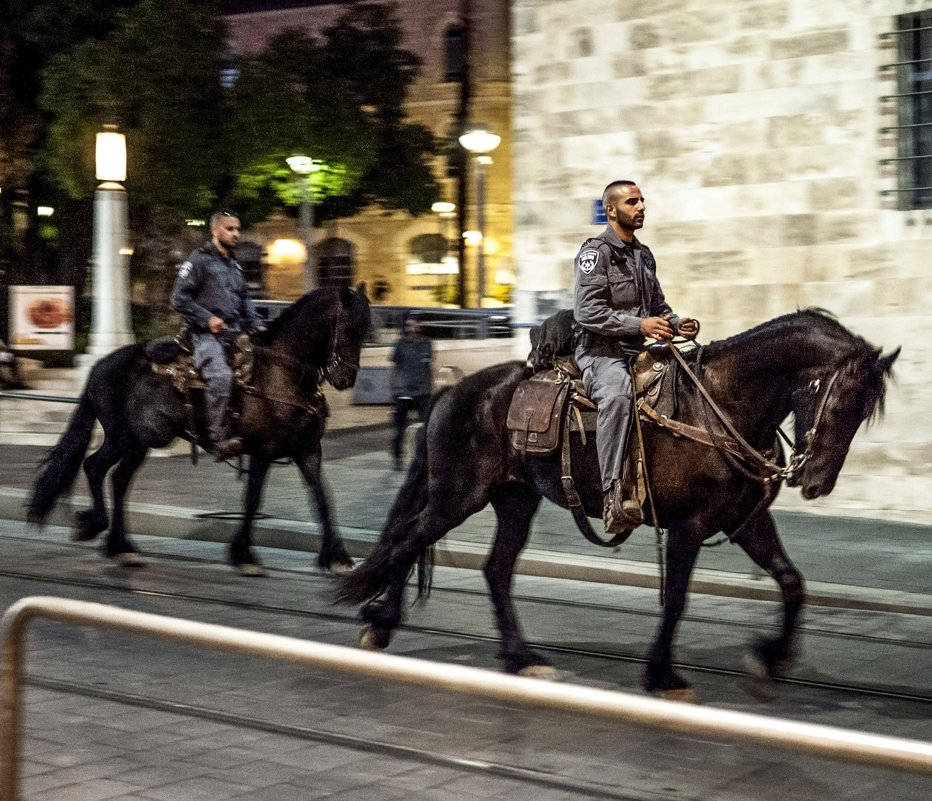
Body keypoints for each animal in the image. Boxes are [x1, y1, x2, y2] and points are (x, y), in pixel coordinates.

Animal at [26, 284, 368, 572]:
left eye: (365, 331)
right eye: (348, 328)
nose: (345, 379)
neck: (282, 373)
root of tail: (100, 364)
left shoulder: (308, 450)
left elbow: (323, 499)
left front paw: (337, 556)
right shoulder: (263, 450)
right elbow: (253, 499)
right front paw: (243, 554)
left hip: (137, 443)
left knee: (118, 479)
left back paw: (121, 546)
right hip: (123, 437)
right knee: (96, 468)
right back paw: (98, 528)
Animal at [338, 310, 900, 696]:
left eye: (864, 411)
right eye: (842, 401)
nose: (816, 482)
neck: (721, 404)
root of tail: (451, 391)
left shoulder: (745, 522)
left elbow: (791, 582)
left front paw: (772, 658)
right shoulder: (690, 525)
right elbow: (676, 598)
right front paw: (663, 674)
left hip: (514, 499)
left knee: (491, 568)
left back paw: (520, 657)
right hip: (458, 495)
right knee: (411, 539)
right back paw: (382, 625)